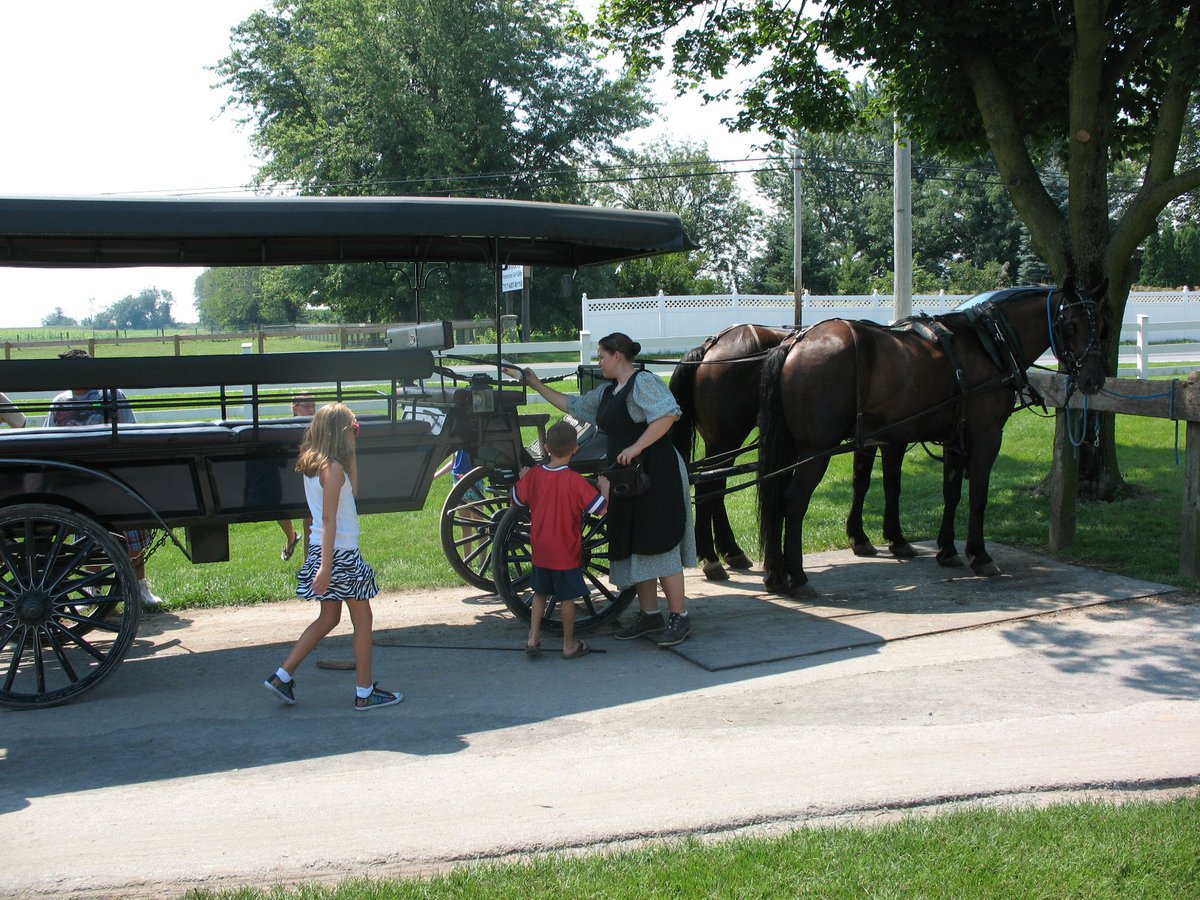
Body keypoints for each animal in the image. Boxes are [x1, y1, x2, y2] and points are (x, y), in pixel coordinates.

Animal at [672, 321, 912, 578]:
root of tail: (710, 347)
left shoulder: (867, 438)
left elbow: (861, 481)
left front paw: (859, 536)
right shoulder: (892, 438)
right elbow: (891, 485)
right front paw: (894, 538)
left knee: (714, 485)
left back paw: (730, 551)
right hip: (726, 438)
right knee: (709, 486)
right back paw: (712, 557)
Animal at [758, 282, 1104, 600]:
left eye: (1097, 325)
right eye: (1072, 325)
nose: (1094, 380)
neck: (989, 344)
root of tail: (796, 342)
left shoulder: (953, 438)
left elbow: (949, 493)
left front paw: (947, 549)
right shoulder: (987, 436)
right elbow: (978, 496)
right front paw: (980, 555)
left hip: (795, 447)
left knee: (776, 495)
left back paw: (776, 575)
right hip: (816, 451)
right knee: (794, 500)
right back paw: (797, 576)